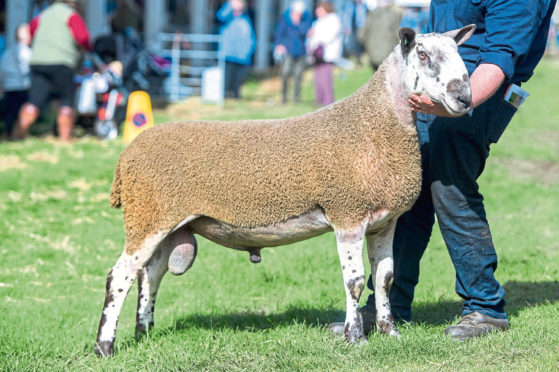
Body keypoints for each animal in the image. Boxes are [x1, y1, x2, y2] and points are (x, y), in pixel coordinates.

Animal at [93, 26, 476, 358]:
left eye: (459, 53)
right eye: (423, 55)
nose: (464, 97)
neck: (375, 124)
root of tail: (126, 157)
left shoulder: (384, 222)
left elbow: (384, 279)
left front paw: (390, 332)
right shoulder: (347, 213)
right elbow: (354, 282)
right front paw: (355, 338)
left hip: (165, 223)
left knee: (150, 274)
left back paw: (145, 332)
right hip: (147, 218)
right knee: (119, 276)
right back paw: (104, 346)